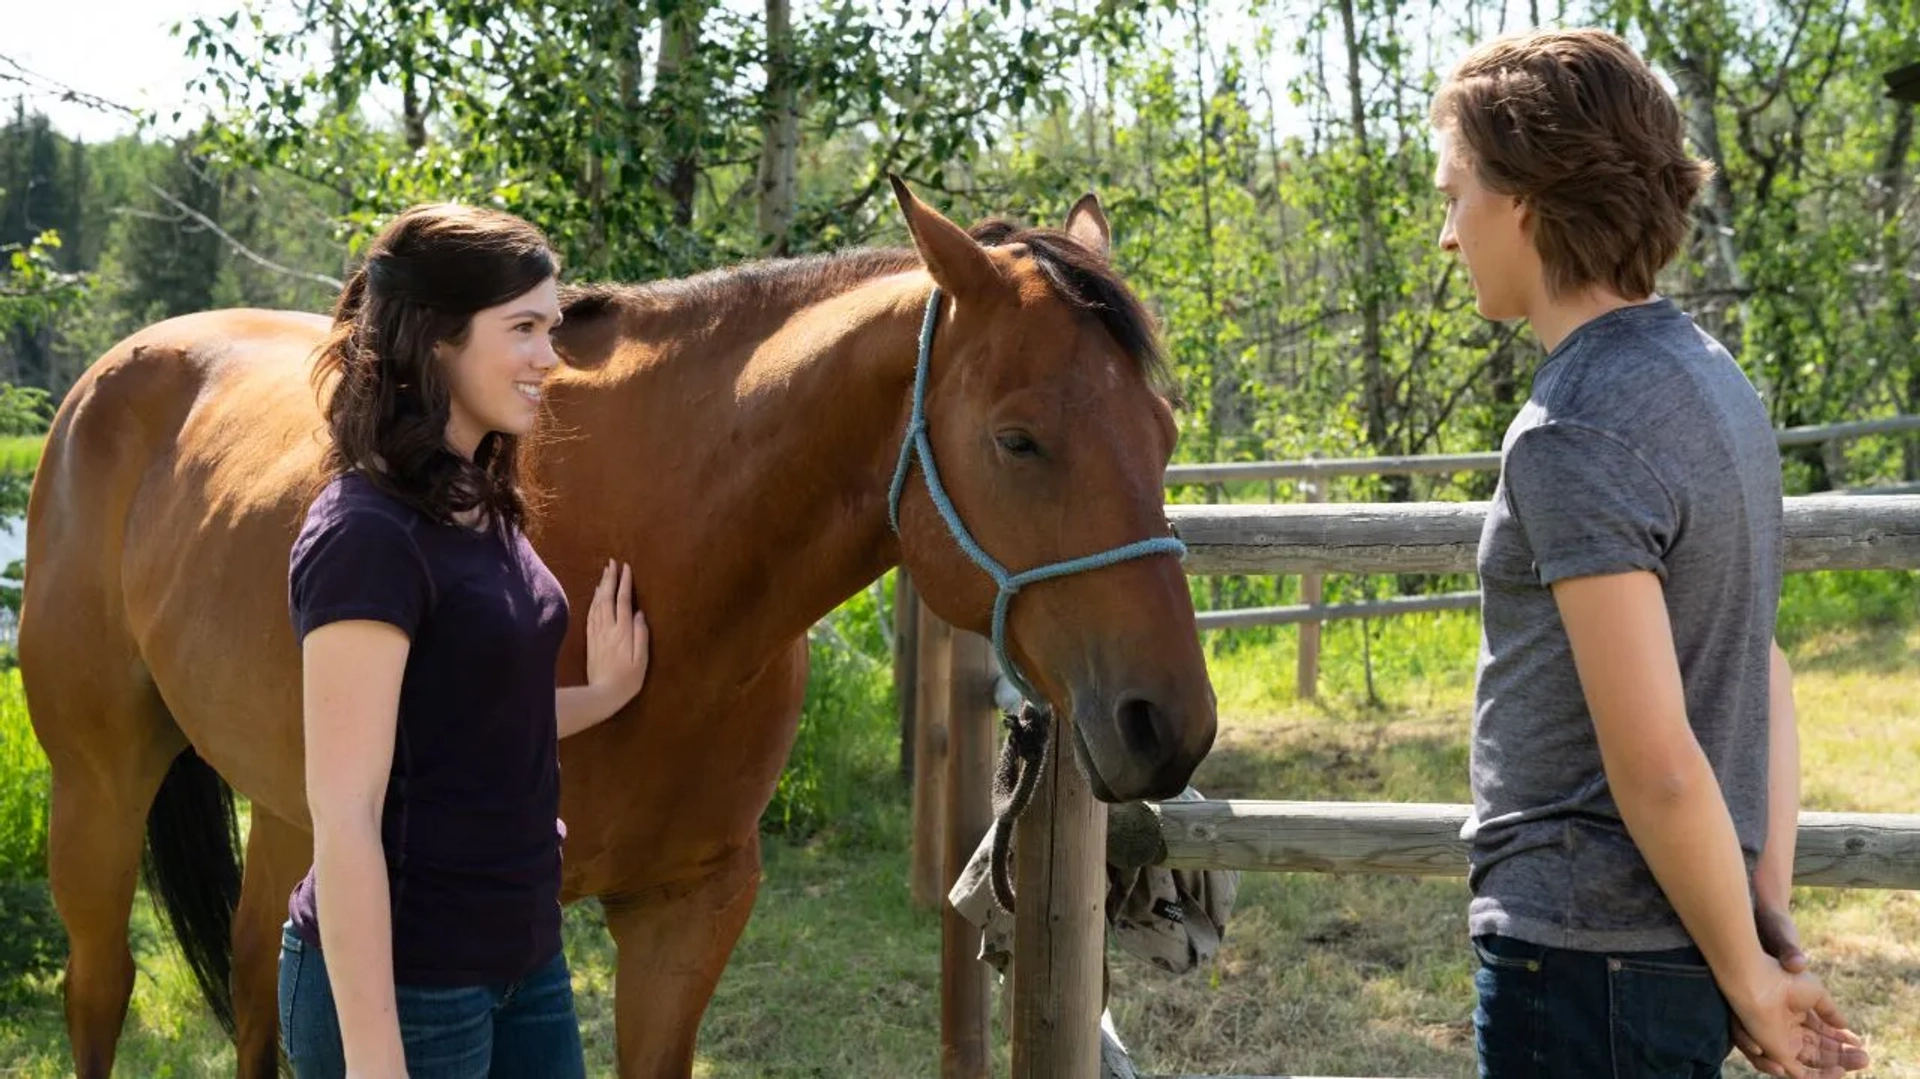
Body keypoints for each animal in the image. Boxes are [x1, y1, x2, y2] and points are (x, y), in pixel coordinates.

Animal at [18, 180, 1213, 1067]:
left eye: (1162, 429)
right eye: (1019, 440)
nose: (1169, 724)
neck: (664, 563)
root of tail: (106, 381)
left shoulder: (687, 909)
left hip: (297, 811)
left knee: (262, 990)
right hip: (100, 785)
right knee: (100, 986)